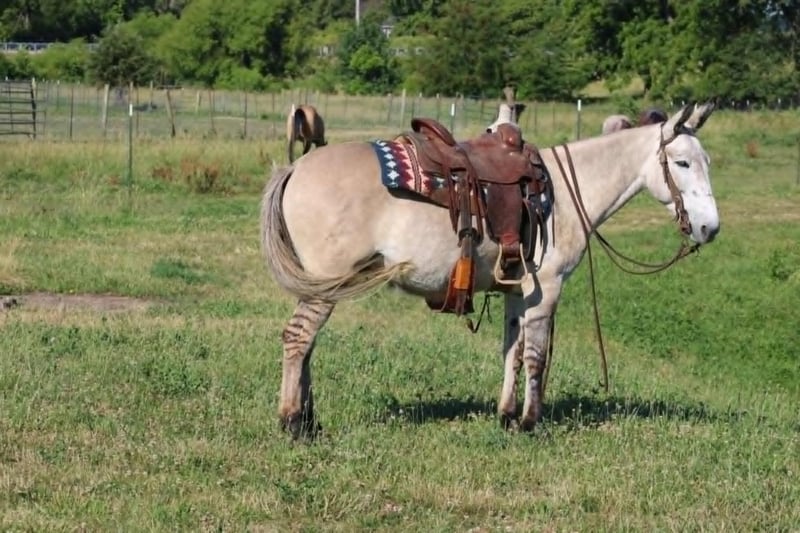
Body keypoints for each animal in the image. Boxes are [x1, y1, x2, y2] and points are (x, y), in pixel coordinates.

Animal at [261, 102, 720, 439]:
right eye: (681, 163)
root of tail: (295, 168)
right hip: (324, 284)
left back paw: (309, 421)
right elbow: (535, 357)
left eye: (706, 162)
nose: (709, 228)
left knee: (307, 345)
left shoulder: (518, 292)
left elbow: (511, 352)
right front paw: (530, 424)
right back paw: (293, 424)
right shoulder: (547, 291)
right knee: (297, 338)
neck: (563, 196)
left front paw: (506, 415)